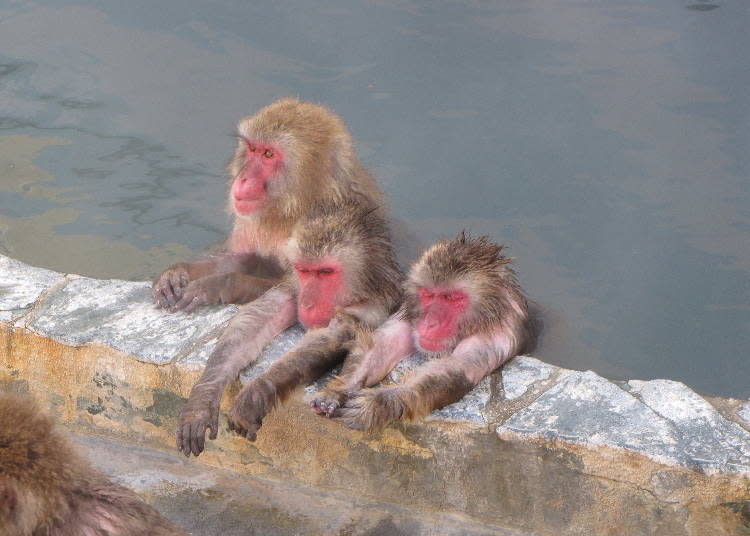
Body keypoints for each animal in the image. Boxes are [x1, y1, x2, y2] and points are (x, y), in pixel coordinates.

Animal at [153, 98, 388, 312]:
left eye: (268, 154)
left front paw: (218, 284)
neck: (292, 209)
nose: (244, 178)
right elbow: (246, 258)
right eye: (252, 149)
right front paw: (177, 272)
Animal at [178, 197, 406, 456]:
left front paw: (258, 391)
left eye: (325, 272)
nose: (307, 302)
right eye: (305, 271)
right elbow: (257, 317)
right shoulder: (294, 284)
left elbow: (331, 337)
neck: (360, 289)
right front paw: (202, 400)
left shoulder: (375, 307)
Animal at [312, 232, 536, 434]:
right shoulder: (411, 311)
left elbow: (455, 368)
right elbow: (383, 344)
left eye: (451, 298)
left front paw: (379, 403)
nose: (430, 323)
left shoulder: (497, 334)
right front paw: (339, 390)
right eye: (428, 295)